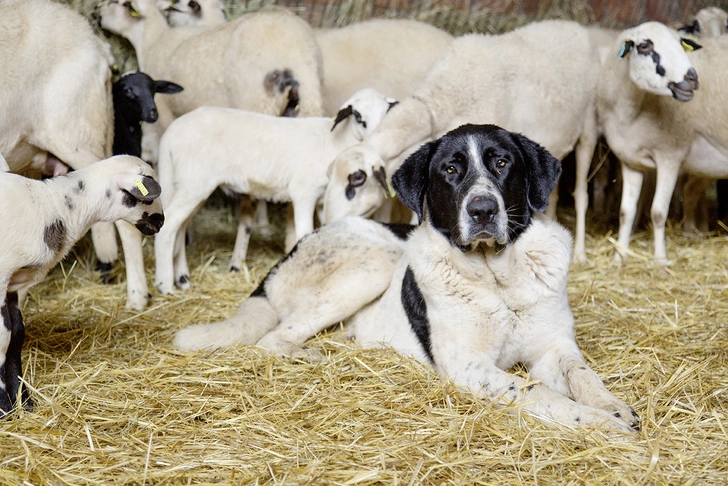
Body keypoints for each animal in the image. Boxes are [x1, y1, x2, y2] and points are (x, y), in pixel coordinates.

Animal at [1, 156, 164, 414]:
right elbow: (3, 339)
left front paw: (24, 402)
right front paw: (6, 407)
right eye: (148, 196)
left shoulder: (13, 283)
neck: (51, 206)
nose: (161, 221)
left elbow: (16, 335)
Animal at [154, 87, 400, 294]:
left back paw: (182, 278)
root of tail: (169, 136)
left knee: (180, 227)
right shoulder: (304, 193)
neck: (337, 142)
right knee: (170, 225)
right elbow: (304, 232)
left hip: (186, 184)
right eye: (358, 116)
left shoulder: (323, 200)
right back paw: (166, 285)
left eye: (386, 112)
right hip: (195, 182)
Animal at [175, 124, 636, 432]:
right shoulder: (470, 366)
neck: (496, 278)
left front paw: (611, 406)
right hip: (375, 262)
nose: (483, 210)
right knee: (273, 337)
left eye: (502, 163)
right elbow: (532, 390)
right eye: (450, 170)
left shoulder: (554, 348)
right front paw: (597, 421)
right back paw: (311, 354)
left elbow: (582, 374)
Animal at [324, 19, 604, 256]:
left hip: (589, 127)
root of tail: (571, 24)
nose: (327, 225)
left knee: (581, 194)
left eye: (357, 178)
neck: (439, 103)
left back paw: (579, 253)